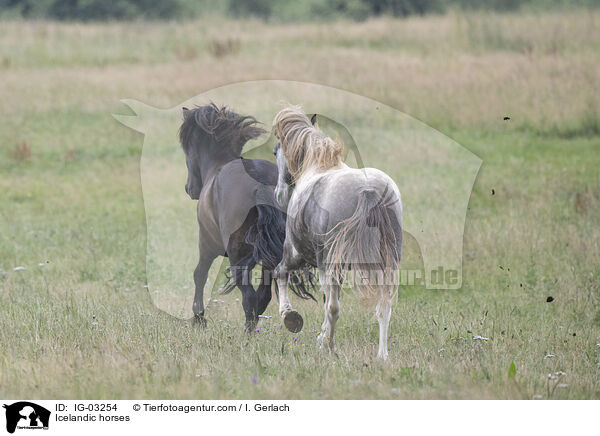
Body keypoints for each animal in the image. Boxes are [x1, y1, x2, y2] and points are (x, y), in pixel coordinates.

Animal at [178, 104, 312, 328]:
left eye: (187, 148)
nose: (190, 189)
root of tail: (258, 181)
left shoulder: (206, 244)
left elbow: (199, 275)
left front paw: (199, 317)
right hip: (268, 258)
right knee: (263, 295)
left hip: (236, 255)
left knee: (249, 296)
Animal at [272, 107, 404, 360]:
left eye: (276, 151)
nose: (278, 196)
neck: (317, 168)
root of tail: (368, 190)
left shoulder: (295, 253)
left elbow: (280, 273)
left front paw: (289, 316)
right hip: (387, 264)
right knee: (384, 308)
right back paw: (382, 355)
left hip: (326, 264)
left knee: (333, 308)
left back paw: (329, 346)